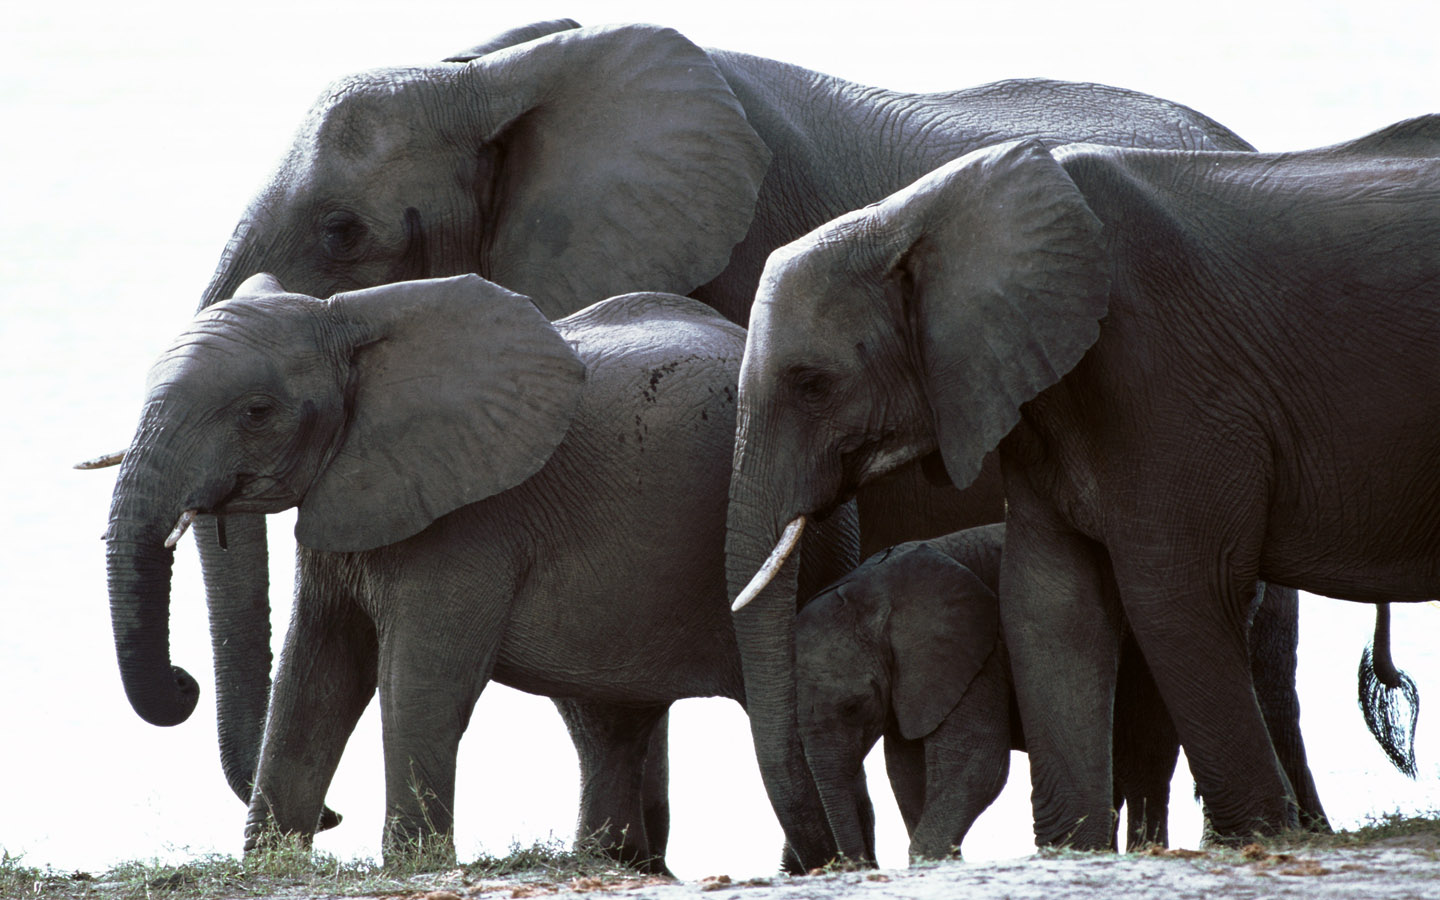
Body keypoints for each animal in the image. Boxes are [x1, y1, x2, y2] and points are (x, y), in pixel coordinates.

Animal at [794, 524, 1175, 858]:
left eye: (854, 706)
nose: (857, 863)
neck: (871, 591)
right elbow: (907, 771)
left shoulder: (976, 648)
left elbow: (978, 761)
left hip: (1141, 654)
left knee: (1143, 761)